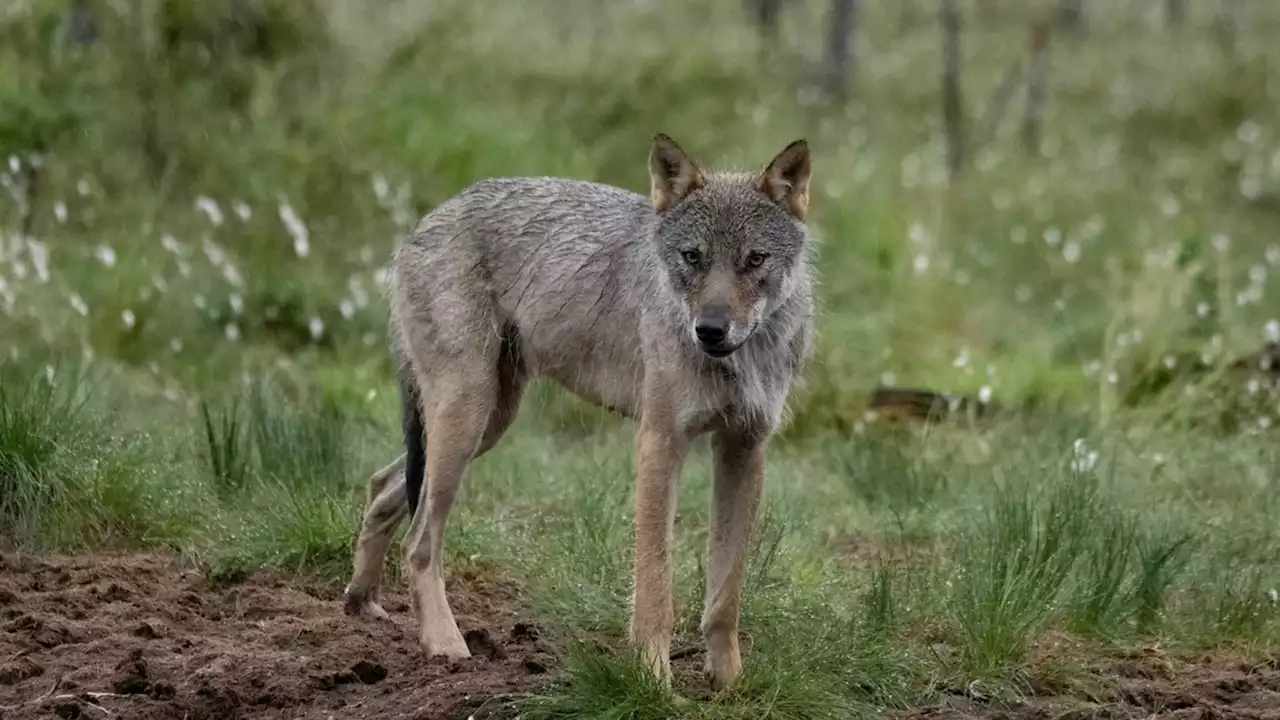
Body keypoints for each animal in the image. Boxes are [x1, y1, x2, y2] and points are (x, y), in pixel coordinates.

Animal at [343, 131, 819, 686]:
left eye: (755, 259)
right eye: (692, 257)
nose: (710, 330)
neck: (740, 361)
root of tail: (424, 222)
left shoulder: (744, 448)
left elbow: (725, 595)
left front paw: (729, 686)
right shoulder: (660, 443)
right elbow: (655, 585)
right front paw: (655, 683)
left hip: (486, 423)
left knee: (382, 486)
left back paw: (362, 603)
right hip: (466, 416)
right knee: (419, 543)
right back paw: (444, 644)